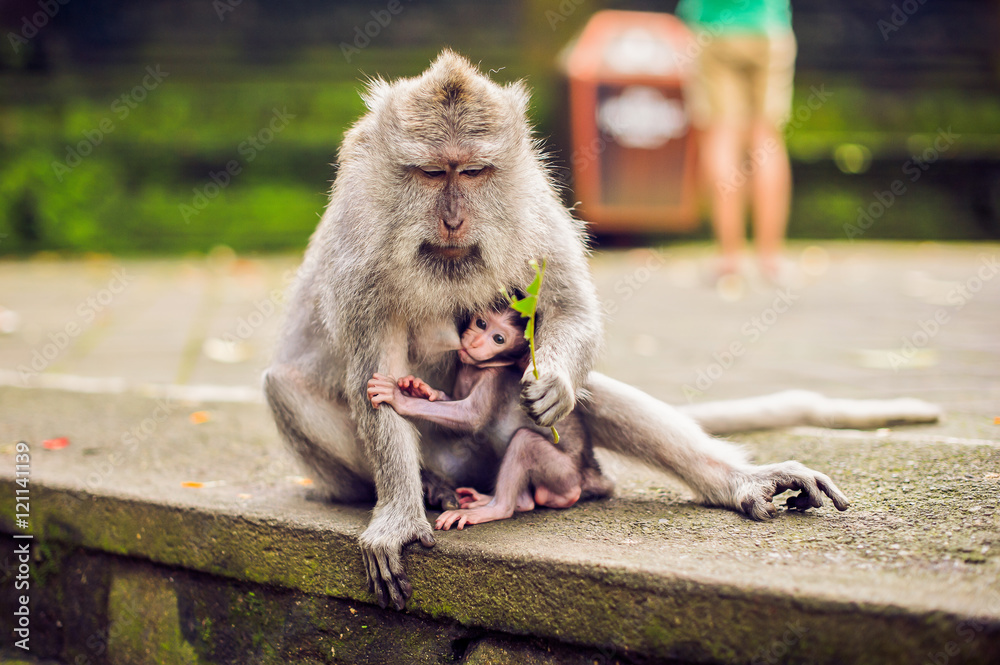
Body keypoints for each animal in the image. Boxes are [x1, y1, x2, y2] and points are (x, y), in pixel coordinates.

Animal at [366, 306, 613, 531]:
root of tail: (588, 470)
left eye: (499, 339)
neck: (478, 368)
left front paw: (398, 397)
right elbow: (453, 401)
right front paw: (419, 388)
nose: (476, 342)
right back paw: (507, 500)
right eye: (481, 323)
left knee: (525, 443)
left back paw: (494, 509)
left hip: (564, 472)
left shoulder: (493, 379)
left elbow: (470, 418)